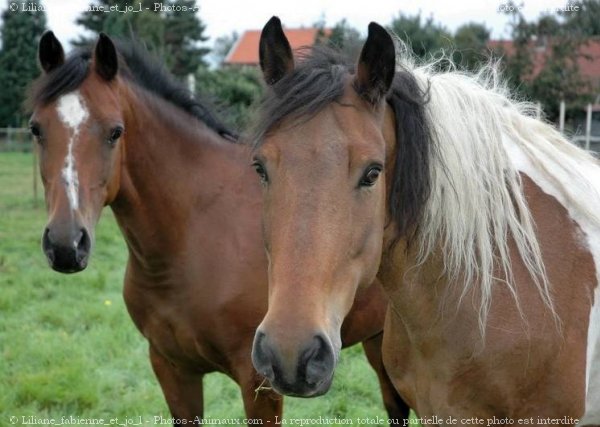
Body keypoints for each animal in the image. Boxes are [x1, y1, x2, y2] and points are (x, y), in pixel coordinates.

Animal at [30, 30, 410, 424]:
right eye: (36, 129)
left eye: (115, 132)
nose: (65, 245)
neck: (194, 236)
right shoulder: (172, 369)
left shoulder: (259, 382)